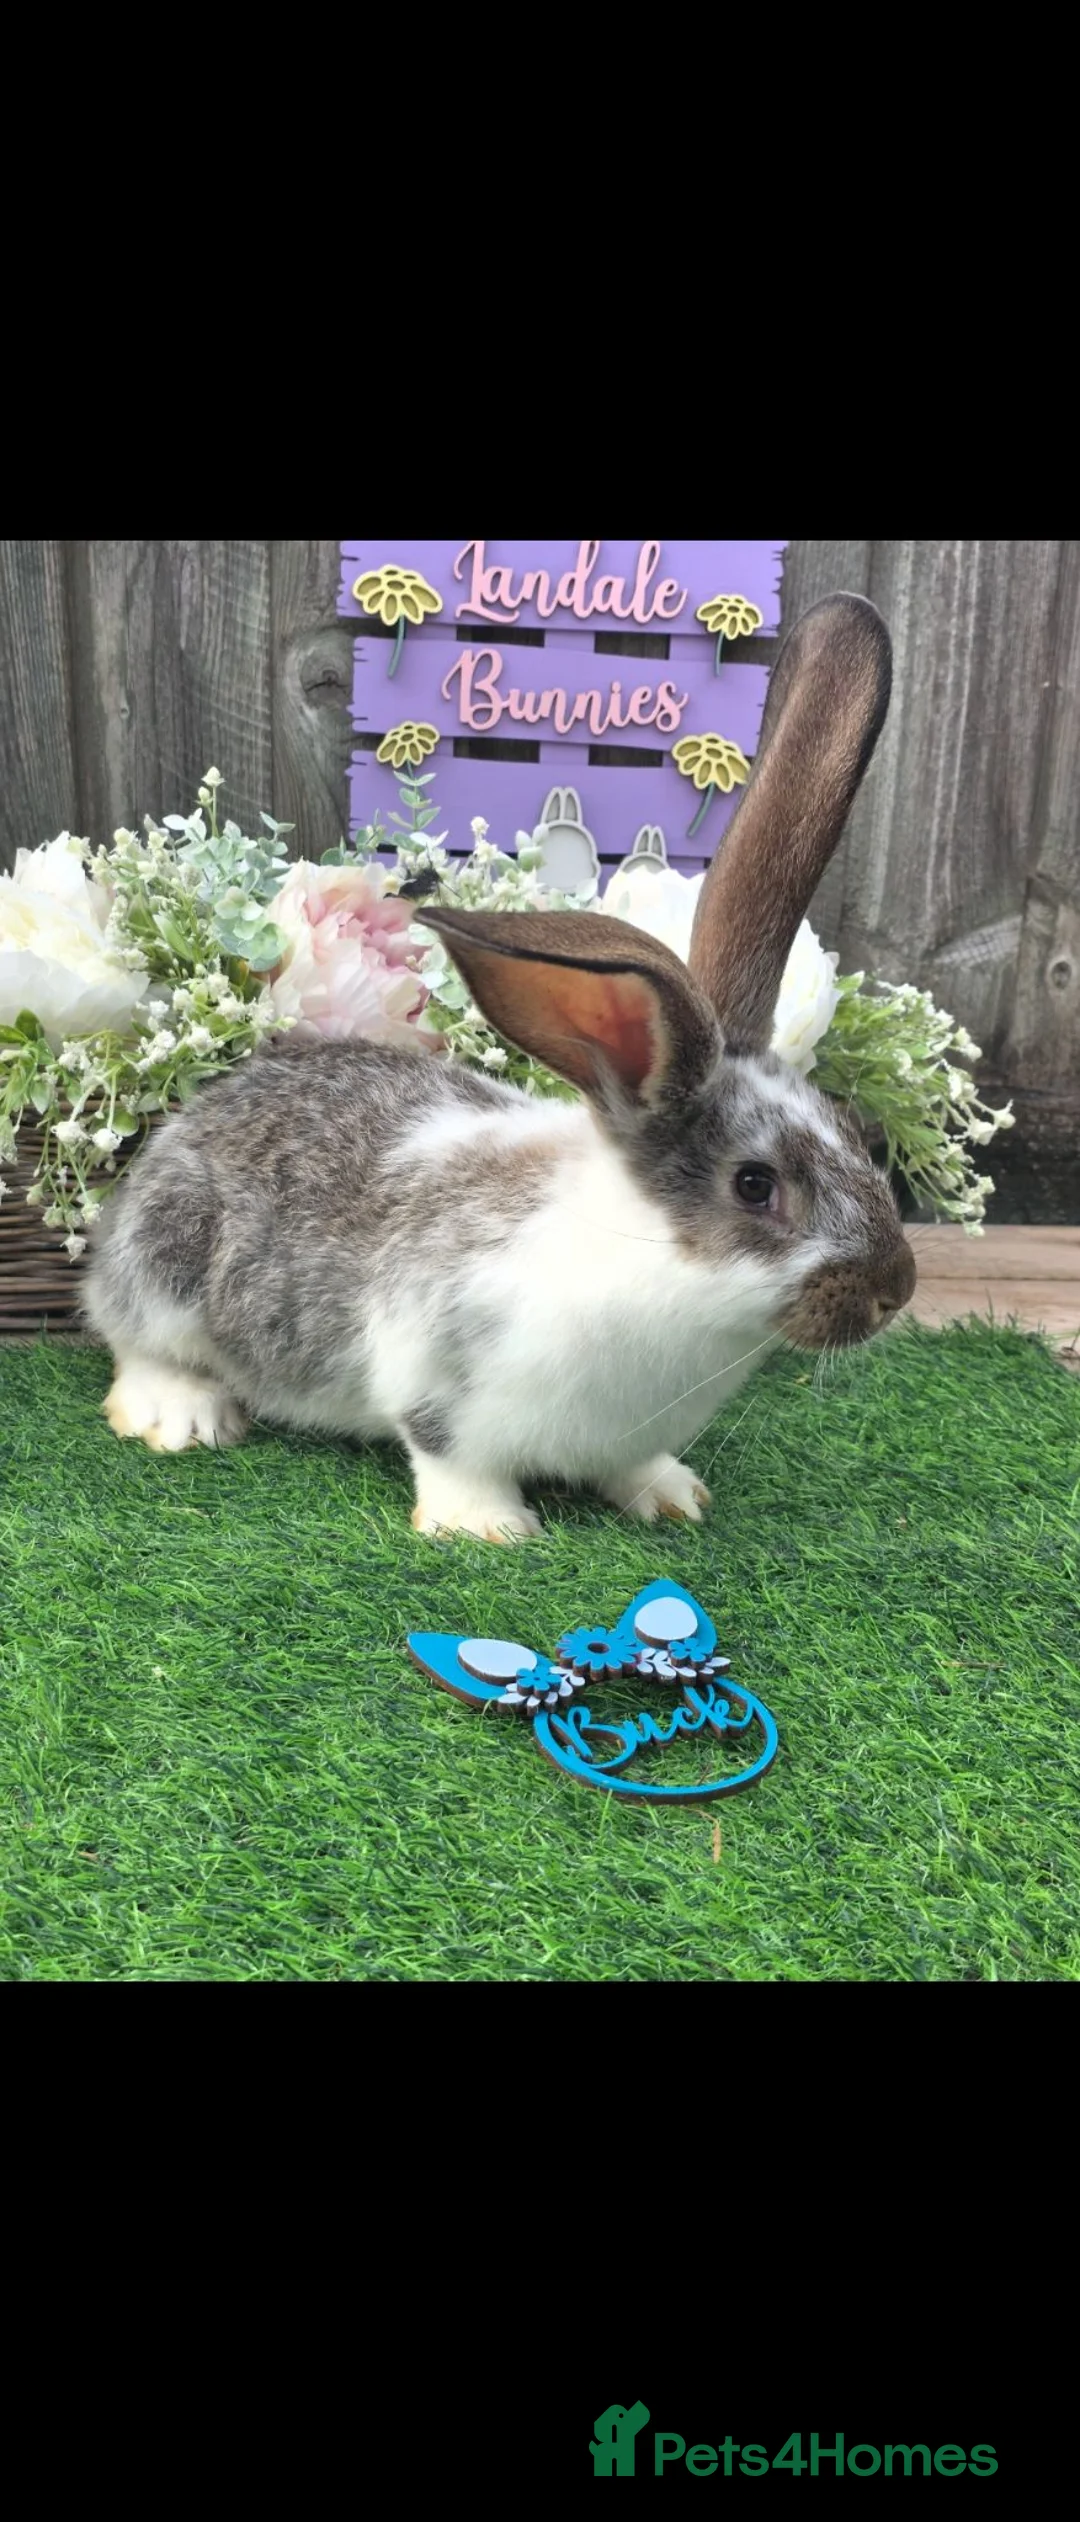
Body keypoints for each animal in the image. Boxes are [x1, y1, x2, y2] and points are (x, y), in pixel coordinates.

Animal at [83, 593, 916, 1543]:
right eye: (753, 1185)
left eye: (854, 1134)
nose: (896, 1289)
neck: (647, 1260)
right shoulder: (435, 1380)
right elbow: (453, 1461)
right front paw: (488, 1530)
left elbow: (636, 1467)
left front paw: (672, 1498)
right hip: (164, 1268)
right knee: (135, 1341)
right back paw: (181, 1417)